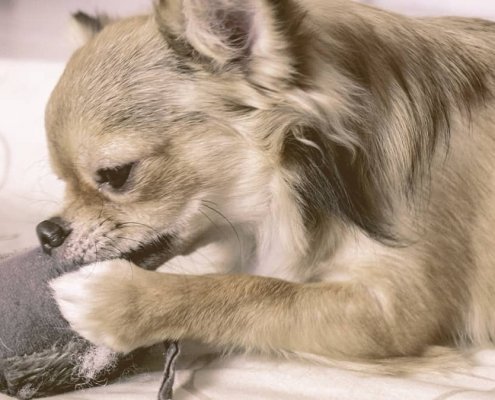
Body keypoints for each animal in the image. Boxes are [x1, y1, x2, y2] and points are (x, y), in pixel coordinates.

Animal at [43, 0, 495, 368]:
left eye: (116, 175)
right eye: (60, 180)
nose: (45, 233)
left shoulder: (393, 312)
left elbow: (257, 291)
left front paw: (121, 298)